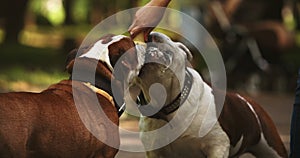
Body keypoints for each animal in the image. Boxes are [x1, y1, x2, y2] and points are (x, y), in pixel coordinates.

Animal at [132, 31, 288, 157]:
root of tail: (249, 101)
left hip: (272, 147)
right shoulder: (154, 152)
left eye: (170, 39)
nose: (149, 34)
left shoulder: (217, 145)